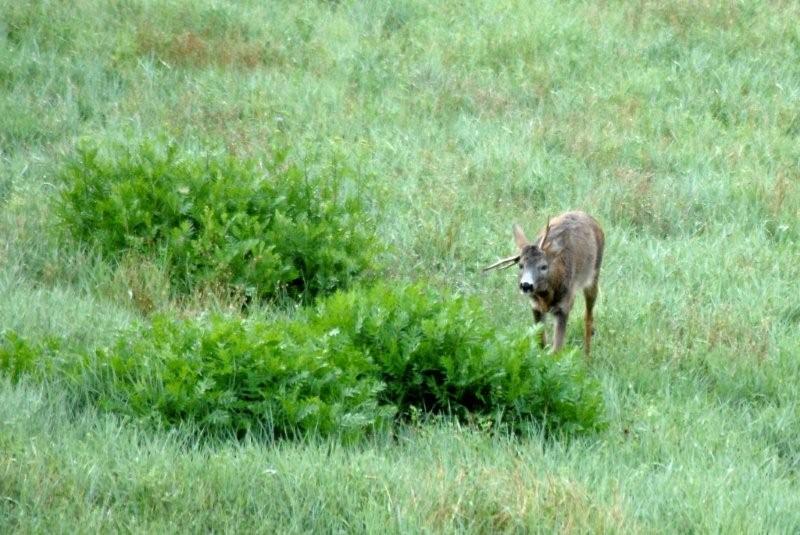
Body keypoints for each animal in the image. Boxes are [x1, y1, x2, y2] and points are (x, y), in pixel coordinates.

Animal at [482, 211, 608, 358]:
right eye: (521, 265)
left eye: (543, 266)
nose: (526, 285)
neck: (547, 295)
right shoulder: (535, 306)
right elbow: (541, 343)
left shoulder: (563, 307)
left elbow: (557, 349)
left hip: (593, 276)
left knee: (588, 316)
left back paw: (587, 357)